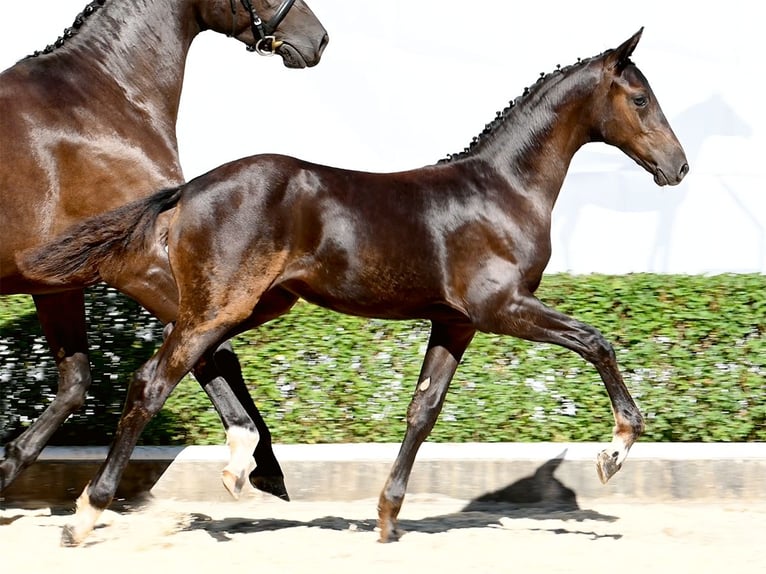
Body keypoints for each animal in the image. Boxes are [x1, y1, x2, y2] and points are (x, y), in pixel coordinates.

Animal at [0, 1, 328, 500]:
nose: (318, 39)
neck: (99, 101)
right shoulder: (138, 267)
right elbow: (216, 350)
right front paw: (262, 461)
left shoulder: (57, 284)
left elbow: (76, 383)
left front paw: (8, 465)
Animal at [19, 28, 688, 548]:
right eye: (640, 97)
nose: (678, 167)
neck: (501, 192)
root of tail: (188, 189)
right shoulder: (501, 307)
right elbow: (596, 342)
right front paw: (615, 450)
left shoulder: (456, 322)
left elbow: (423, 410)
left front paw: (388, 518)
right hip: (222, 305)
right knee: (152, 382)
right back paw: (86, 515)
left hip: (247, 304)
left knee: (196, 362)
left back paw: (239, 467)